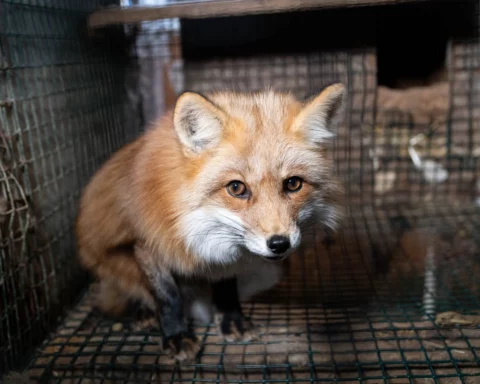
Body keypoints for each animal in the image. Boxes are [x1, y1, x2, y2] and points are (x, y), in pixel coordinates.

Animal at [75, 83, 344, 360]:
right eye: (236, 188)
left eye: (293, 184)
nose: (280, 244)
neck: (188, 221)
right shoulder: (146, 243)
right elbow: (167, 296)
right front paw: (176, 334)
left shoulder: (225, 258)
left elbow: (226, 287)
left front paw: (231, 319)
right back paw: (143, 313)